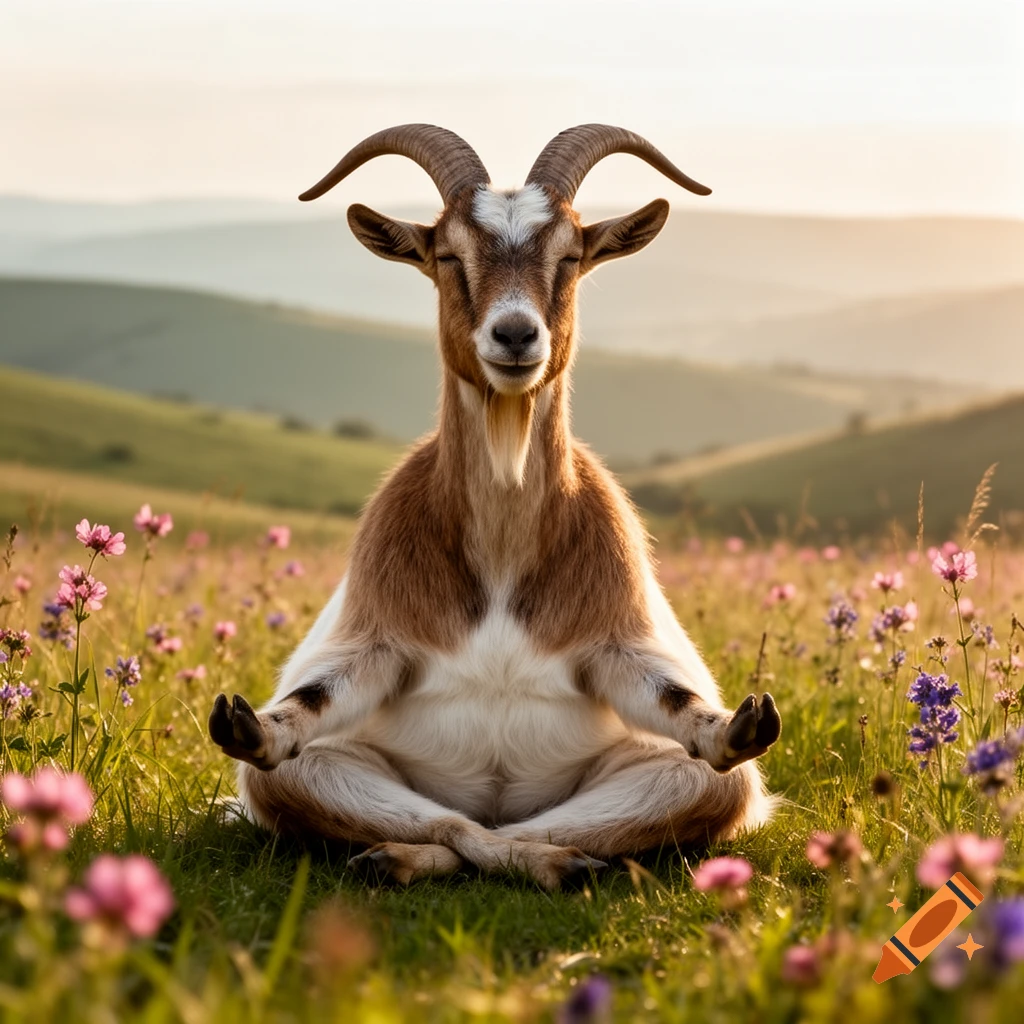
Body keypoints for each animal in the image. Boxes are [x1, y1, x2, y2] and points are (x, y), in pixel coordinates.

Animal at [209, 124, 781, 889]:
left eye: (570, 256)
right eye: (448, 255)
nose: (514, 335)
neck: (503, 559)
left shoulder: (615, 639)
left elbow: (672, 701)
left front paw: (731, 727)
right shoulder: (378, 637)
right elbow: (318, 699)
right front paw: (257, 727)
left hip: (676, 781)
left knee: (642, 800)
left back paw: (558, 862)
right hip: (320, 776)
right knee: (436, 818)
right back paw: (403, 857)